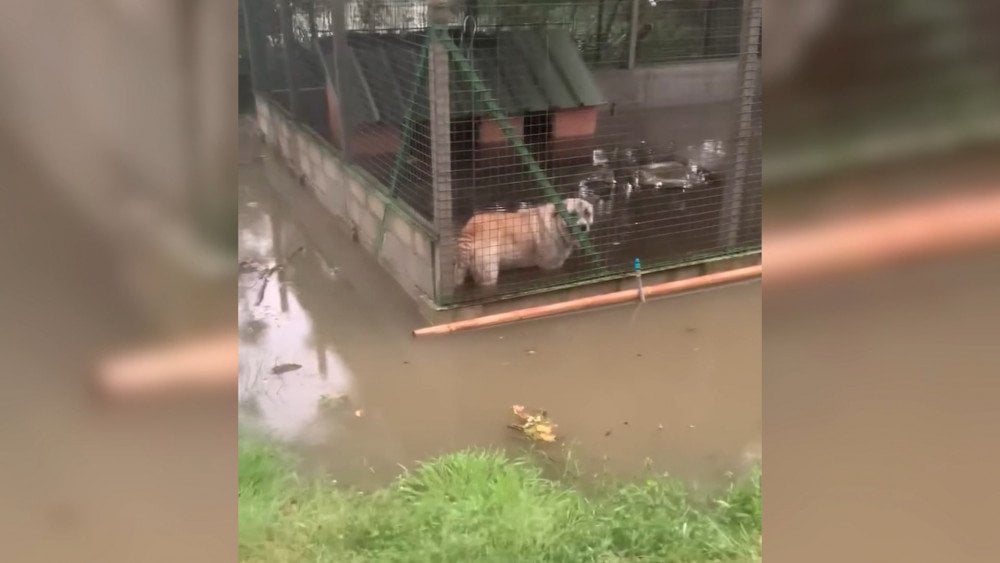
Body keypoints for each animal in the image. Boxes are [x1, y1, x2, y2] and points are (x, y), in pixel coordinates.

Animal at [456, 198, 592, 288]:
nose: (583, 227)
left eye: (587, 213)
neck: (555, 225)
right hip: (488, 273)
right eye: (572, 214)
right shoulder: (550, 267)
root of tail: (470, 228)